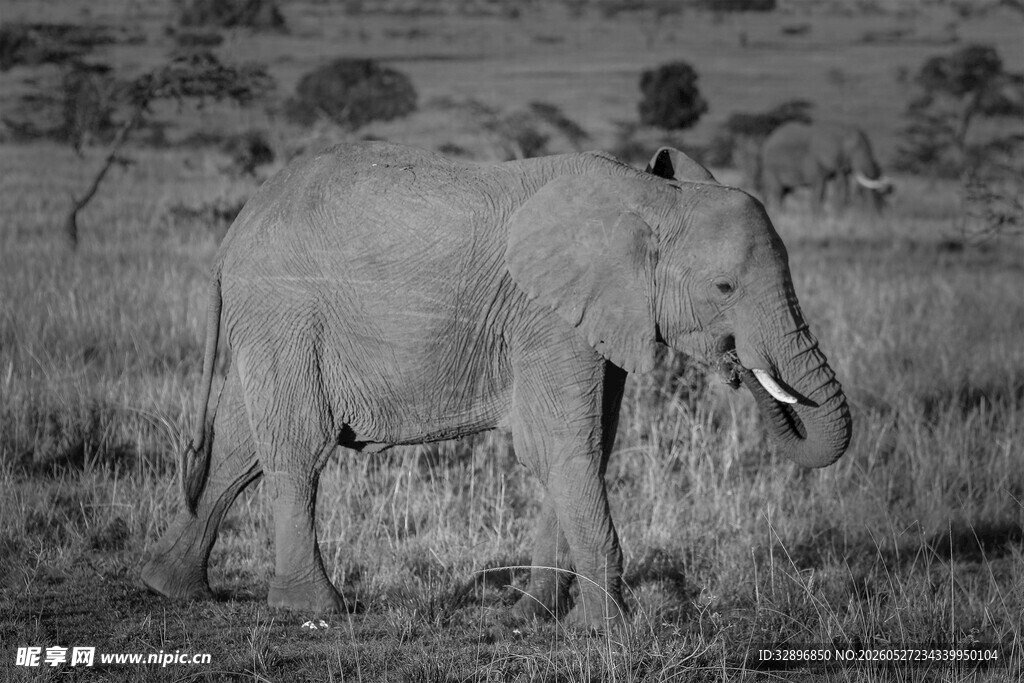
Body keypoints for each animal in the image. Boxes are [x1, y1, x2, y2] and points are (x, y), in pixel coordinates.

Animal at [141, 142, 852, 631]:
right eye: (724, 287)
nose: (741, 369)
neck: (648, 197)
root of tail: (233, 231)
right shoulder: (546, 314)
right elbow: (566, 447)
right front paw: (611, 632)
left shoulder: (593, 316)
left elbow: (586, 447)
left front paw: (534, 615)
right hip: (287, 311)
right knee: (297, 447)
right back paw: (315, 608)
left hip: (269, 319)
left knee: (239, 446)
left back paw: (169, 588)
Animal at [760, 121, 893, 213]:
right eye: (854, 149)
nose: (876, 214)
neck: (841, 131)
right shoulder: (816, 160)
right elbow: (820, 188)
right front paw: (819, 216)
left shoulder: (838, 162)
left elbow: (840, 184)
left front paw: (838, 214)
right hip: (771, 167)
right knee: (777, 192)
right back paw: (779, 214)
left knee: (784, 192)